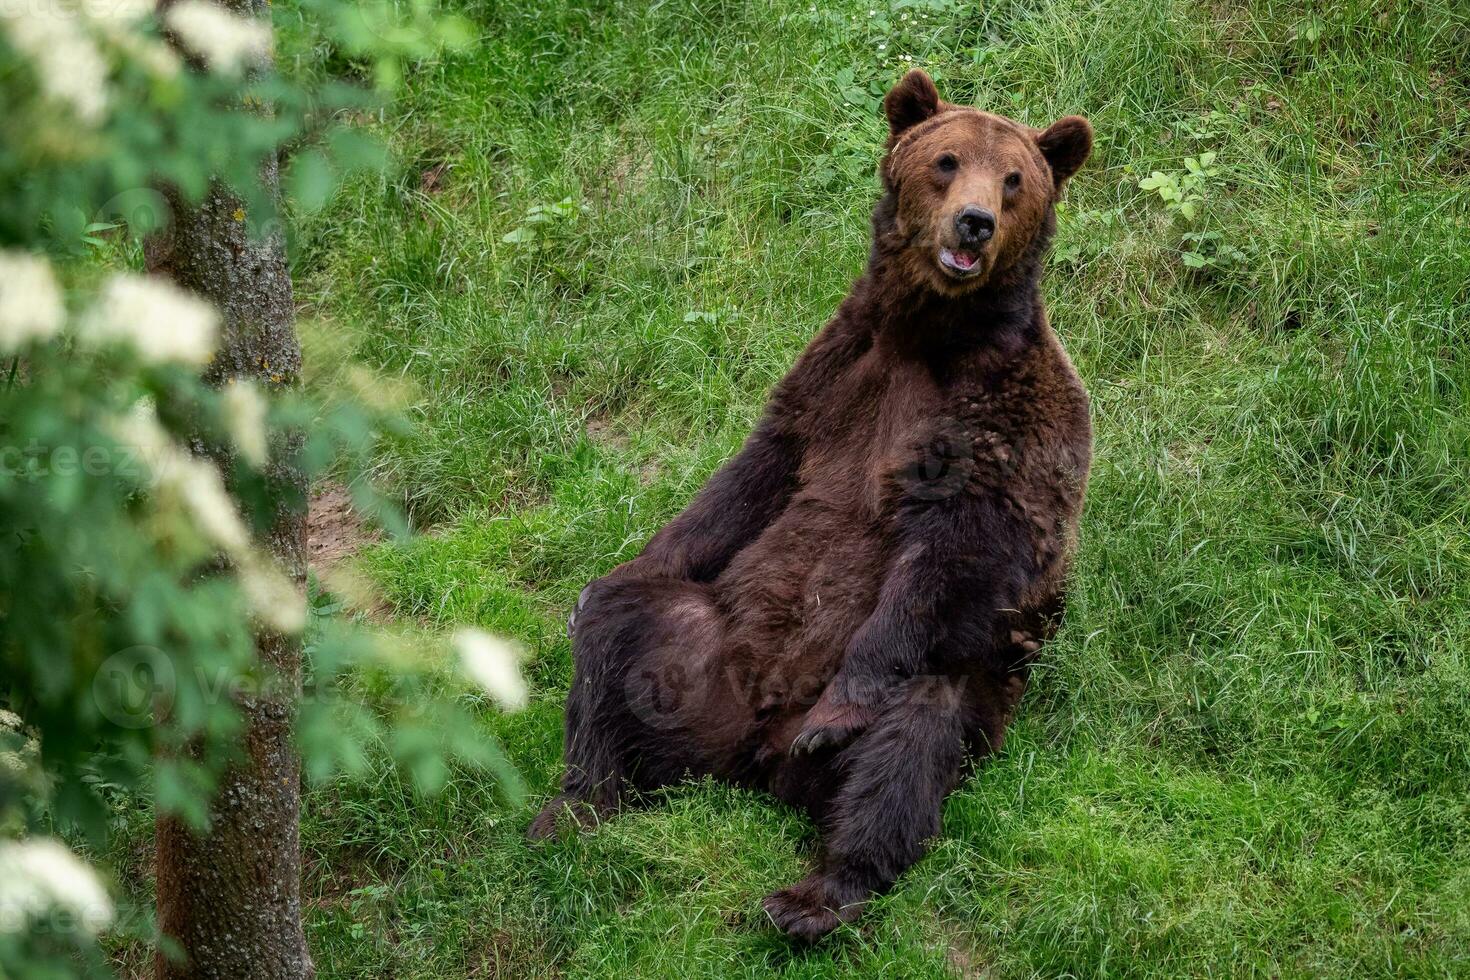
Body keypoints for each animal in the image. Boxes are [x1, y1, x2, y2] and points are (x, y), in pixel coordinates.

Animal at [529, 69, 1093, 940]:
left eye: (1014, 180)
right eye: (947, 160)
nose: (975, 222)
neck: (931, 335)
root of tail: (752, 756)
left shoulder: (1011, 419)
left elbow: (957, 554)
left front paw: (840, 710)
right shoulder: (836, 373)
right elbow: (755, 475)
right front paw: (601, 583)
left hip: (947, 694)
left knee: (908, 742)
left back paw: (814, 895)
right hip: (704, 650)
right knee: (620, 643)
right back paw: (578, 802)